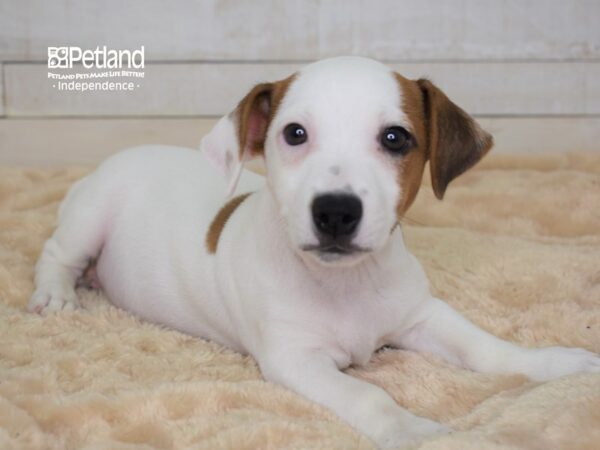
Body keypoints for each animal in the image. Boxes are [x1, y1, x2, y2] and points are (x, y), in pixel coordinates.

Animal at [29, 57, 600, 450]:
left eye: (396, 138)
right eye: (295, 133)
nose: (336, 212)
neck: (345, 282)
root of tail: (119, 157)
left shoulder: (422, 316)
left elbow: (488, 349)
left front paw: (553, 363)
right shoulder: (295, 359)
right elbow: (369, 395)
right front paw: (412, 429)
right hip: (90, 219)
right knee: (56, 253)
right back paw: (56, 295)